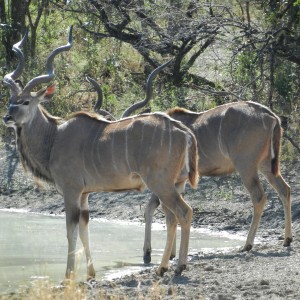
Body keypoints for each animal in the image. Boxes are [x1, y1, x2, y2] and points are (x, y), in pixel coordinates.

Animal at [2, 29, 199, 278]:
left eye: (26, 102)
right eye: (11, 101)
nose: (7, 117)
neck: (54, 137)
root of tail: (182, 130)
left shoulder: (71, 191)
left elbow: (71, 232)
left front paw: (68, 276)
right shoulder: (85, 194)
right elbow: (84, 229)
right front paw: (91, 274)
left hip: (161, 183)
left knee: (183, 212)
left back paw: (176, 266)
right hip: (176, 184)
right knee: (173, 217)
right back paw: (165, 266)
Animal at [113, 65, 292, 262]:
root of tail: (271, 116)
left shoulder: (164, 180)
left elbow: (153, 209)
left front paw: (149, 253)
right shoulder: (178, 181)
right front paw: (171, 254)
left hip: (246, 167)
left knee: (259, 197)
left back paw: (247, 245)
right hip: (266, 165)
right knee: (285, 190)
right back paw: (287, 240)